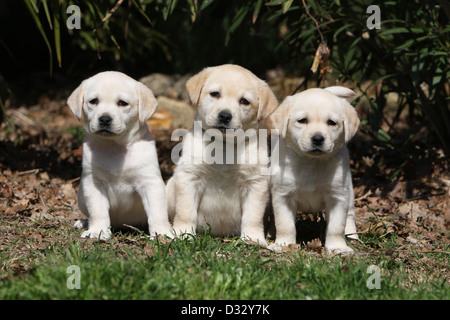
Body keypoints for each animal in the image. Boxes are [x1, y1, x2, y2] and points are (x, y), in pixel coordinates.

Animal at [67, 70, 171, 240]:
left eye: (123, 103)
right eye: (93, 101)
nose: (104, 119)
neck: (115, 146)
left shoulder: (150, 182)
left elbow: (157, 212)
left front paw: (162, 234)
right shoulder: (94, 182)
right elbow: (98, 211)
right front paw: (97, 231)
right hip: (81, 196)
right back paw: (83, 222)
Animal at [165, 64, 278, 245]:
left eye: (244, 101)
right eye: (215, 94)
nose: (225, 116)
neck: (224, 145)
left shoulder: (255, 184)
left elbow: (253, 216)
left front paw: (253, 238)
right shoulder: (189, 177)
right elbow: (185, 211)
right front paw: (184, 234)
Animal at [268, 87, 360, 252]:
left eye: (332, 123)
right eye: (302, 120)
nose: (318, 139)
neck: (311, 162)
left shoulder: (338, 197)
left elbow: (336, 226)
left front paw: (338, 247)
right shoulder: (283, 195)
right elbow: (285, 224)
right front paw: (283, 244)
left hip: (348, 191)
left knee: (350, 215)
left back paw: (352, 236)